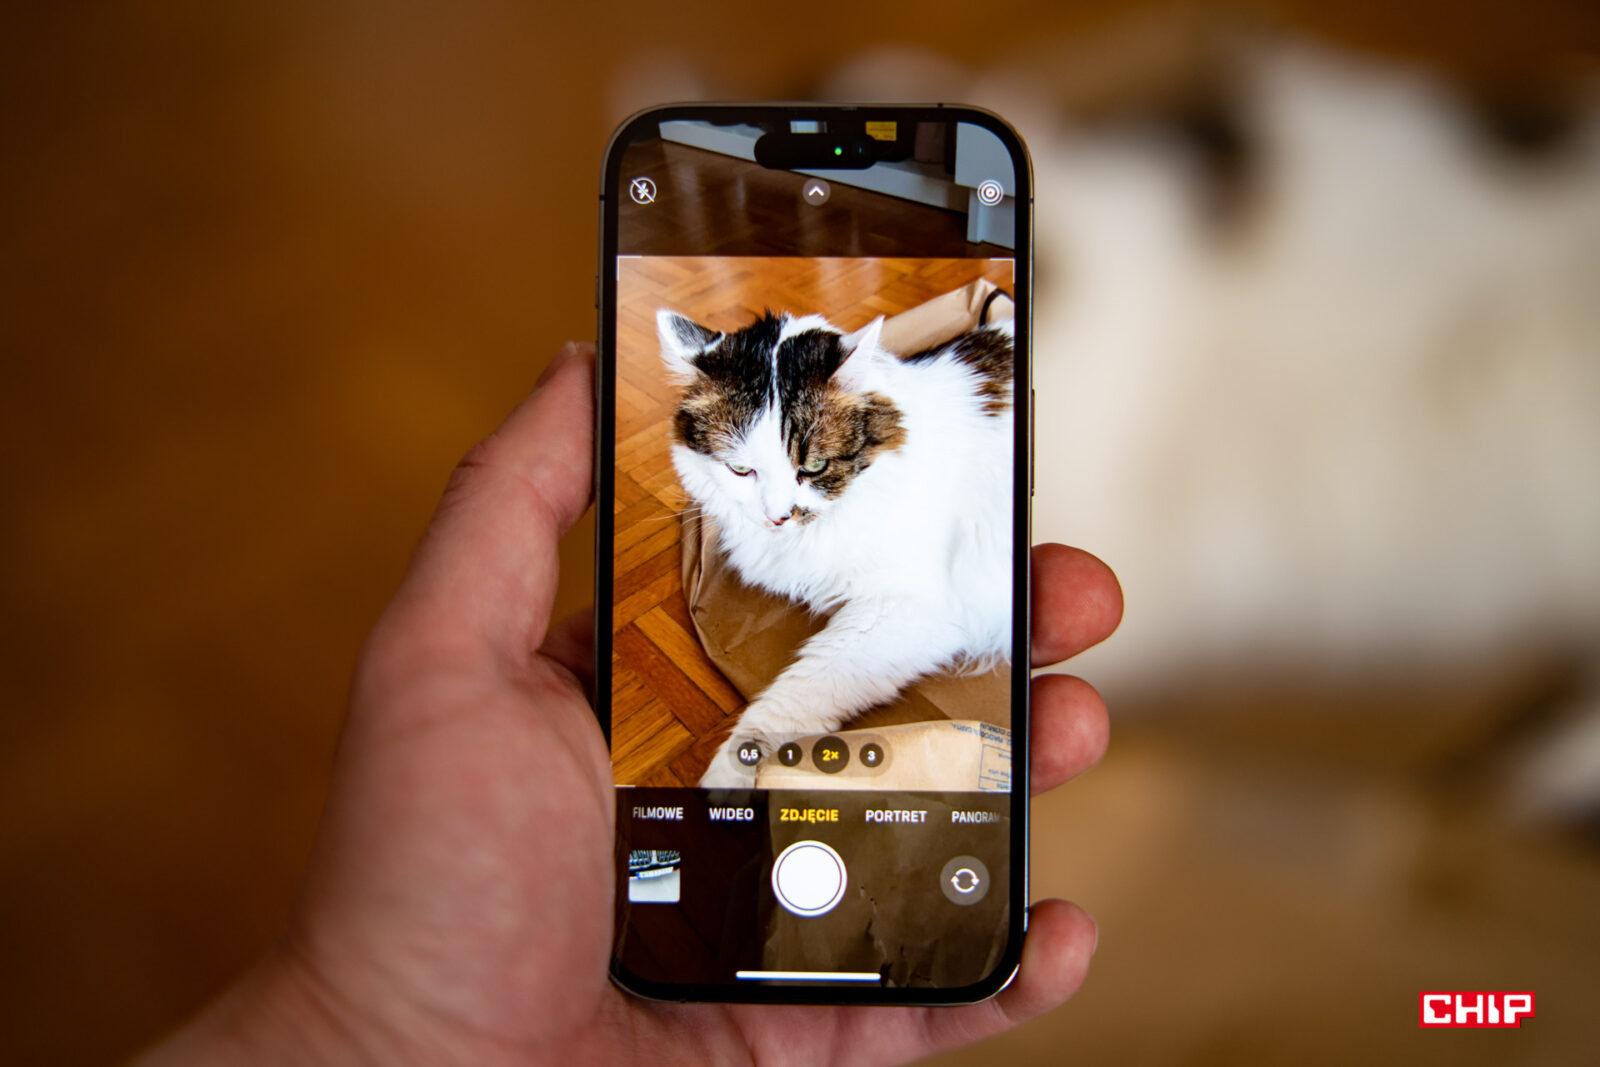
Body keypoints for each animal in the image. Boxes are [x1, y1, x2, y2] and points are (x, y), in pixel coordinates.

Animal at [655, 307, 1015, 788]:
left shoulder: (907, 612)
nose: (778, 516)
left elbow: (786, 703)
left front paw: (731, 780)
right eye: (741, 470)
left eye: (814, 467)